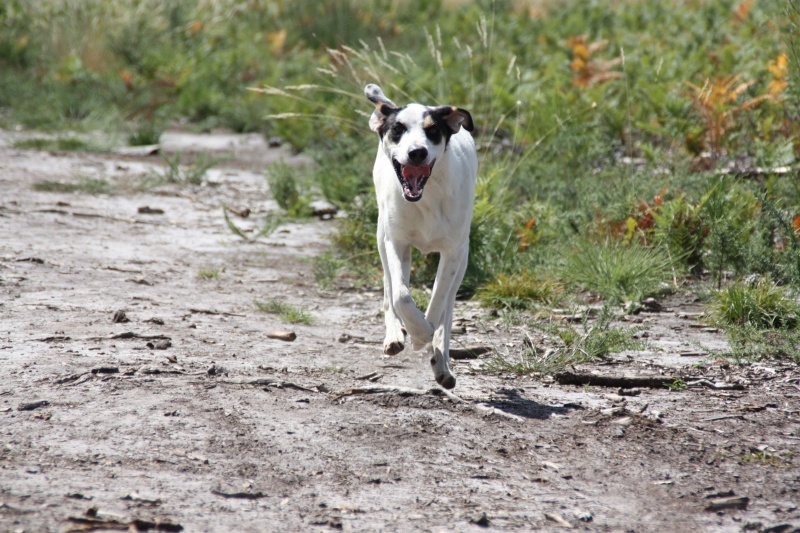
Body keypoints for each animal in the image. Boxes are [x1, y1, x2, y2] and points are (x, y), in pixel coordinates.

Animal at [366, 85, 478, 388]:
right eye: (398, 129)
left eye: (433, 130)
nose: (417, 152)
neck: (427, 199)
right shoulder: (396, 242)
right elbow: (400, 295)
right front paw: (415, 333)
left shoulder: (453, 252)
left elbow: (439, 300)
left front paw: (425, 335)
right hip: (383, 236)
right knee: (389, 289)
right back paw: (395, 336)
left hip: (463, 255)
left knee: (448, 309)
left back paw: (441, 363)